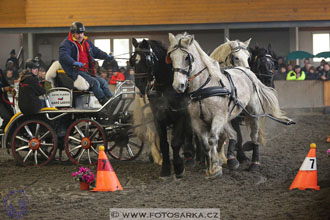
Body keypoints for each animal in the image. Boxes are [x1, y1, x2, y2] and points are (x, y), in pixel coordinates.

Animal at [129, 38, 192, 179]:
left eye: (147, 61)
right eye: (132, 61)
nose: (140, 85)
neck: (167, 88)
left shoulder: (181, 115)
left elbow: (175, 142)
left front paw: (179, 167)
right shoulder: (158, 117)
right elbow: (164, 143)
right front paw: (166, 168)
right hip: (148, 115)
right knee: (152, 136)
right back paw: (157, 157)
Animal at [168, 32, 292, 177]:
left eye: (187, 57)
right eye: (171, 57)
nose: (179, 85)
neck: (204, 87)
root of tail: (249, 74)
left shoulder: (220, 117)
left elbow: (216, 139)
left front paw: (218, 165)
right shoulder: (197, 121)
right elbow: (206, 143)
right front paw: (211, 165)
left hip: (253, 113)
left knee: (253, 136)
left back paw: (254, 163)